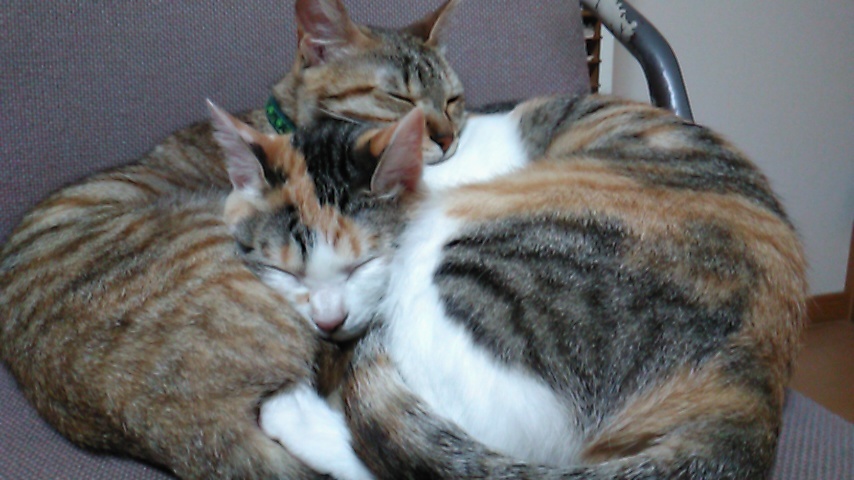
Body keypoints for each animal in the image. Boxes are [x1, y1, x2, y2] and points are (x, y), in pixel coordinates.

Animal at [234, 95, 807, 479]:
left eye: (360, 265)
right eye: (285, 272)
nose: (327, 320)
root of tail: (753, 392)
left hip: (454, 259)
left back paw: (295, 412)